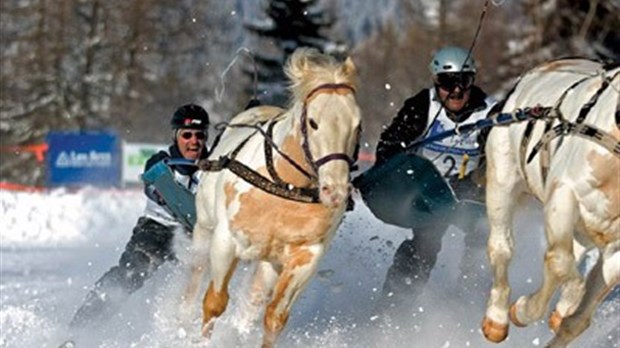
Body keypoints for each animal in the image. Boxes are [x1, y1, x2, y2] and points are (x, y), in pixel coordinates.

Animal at [179, 48, 360, 348]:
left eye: (357, 124)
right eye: (313, 122)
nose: (335, 191)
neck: (284, 185)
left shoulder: (306, 256)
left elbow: (275, 317)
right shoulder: (225, 241)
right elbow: (214, 302)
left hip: (269, 262)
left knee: (253, 301)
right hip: (204, 229)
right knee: (194, 278)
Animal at [484, 57, 620, 348]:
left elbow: (578, 320)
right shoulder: (564, 193)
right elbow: (558, 263)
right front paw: (522, 310)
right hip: (502, 182)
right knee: (501, 248)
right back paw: (497, 319)